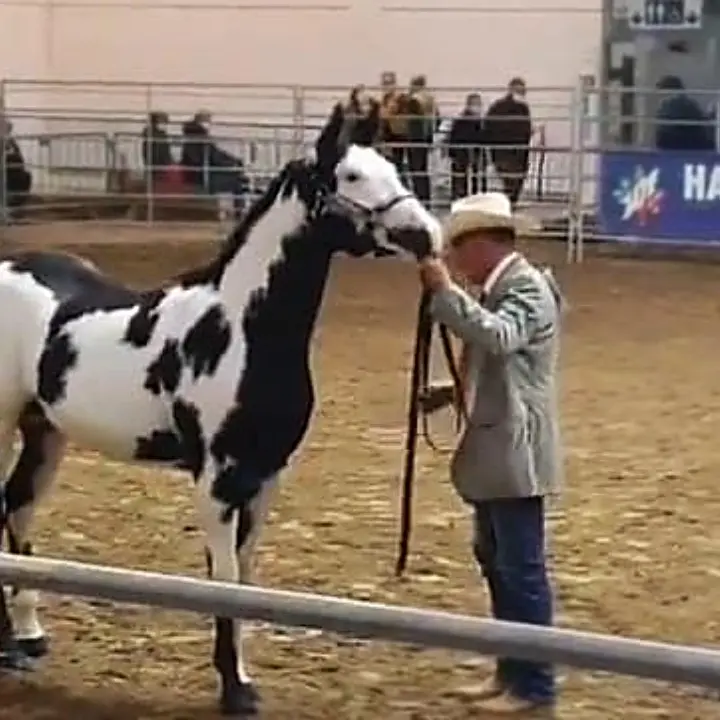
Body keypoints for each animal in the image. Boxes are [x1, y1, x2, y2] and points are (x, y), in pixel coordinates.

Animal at [0, 101, 442, 716]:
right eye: (352, 176)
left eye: (395, 168)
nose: (426, 235)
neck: (241, 330)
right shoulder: (217, 482)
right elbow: (225, 582)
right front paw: (236, 689)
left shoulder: (265, 478)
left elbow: (247, 582)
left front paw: (238, 678)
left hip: (44, 429)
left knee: (16, 506)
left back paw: (27, 638)